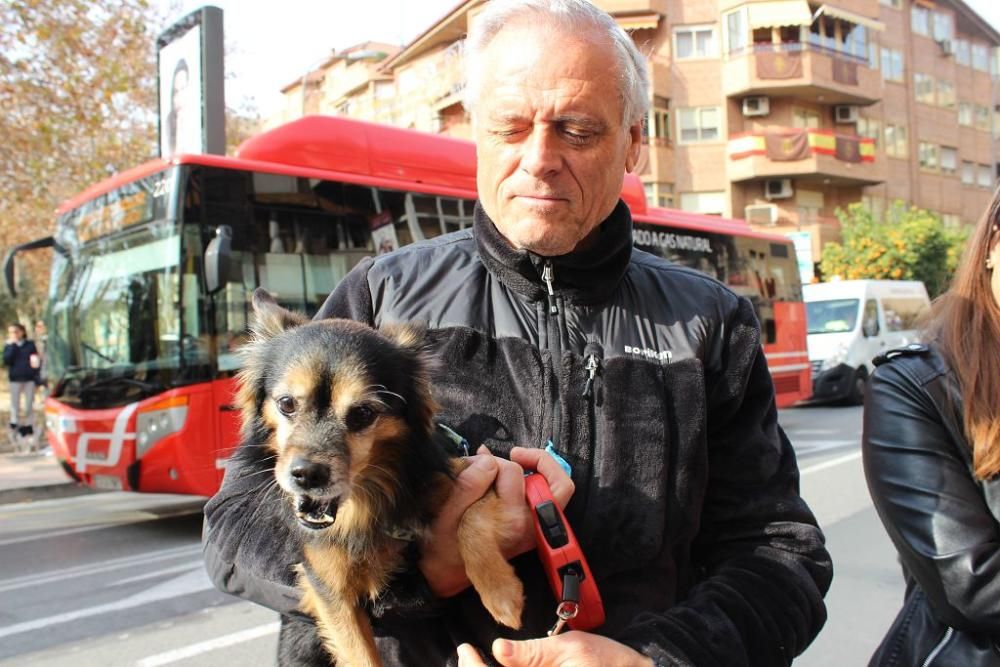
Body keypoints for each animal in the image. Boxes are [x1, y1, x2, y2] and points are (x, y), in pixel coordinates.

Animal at [235, 290, 524, 667]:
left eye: (363, 413)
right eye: (286, 404)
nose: (307, 474)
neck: (364, 504)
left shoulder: (479, 471)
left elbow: (471, 518)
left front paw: (501, 592)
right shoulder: (330, 591)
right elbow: (360, 655)